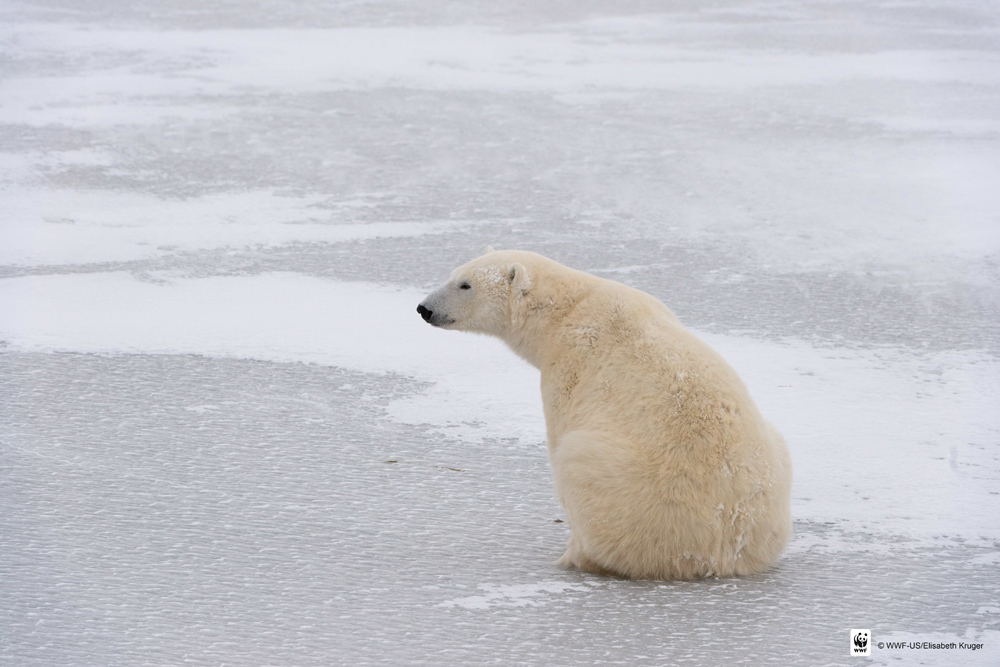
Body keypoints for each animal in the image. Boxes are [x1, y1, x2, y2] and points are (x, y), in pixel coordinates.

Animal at [414, 250, 788, 580]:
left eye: (465, 285)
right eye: (453, 275)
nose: (424, 308)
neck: (569, 307)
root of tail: (724, 551)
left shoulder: (569, 366)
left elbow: (560, 433)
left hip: (637, 495)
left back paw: (578, 555)